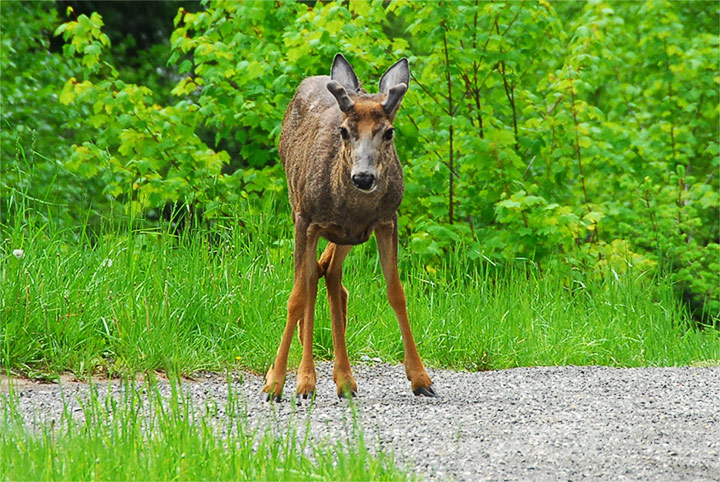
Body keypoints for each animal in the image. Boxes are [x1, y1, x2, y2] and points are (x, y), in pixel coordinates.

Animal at [262, 52, 436, 402]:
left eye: (389, 132)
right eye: (343, 131)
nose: (364, 177)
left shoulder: (387, 220)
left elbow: (396, 292)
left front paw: (421, 378)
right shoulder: (306, 220)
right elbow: (297, 297)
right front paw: (274, 383)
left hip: (346, 235)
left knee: (329, 273)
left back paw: (343, 378)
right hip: (302, 209)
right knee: (313, 278)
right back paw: (307, 379)